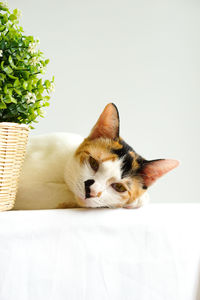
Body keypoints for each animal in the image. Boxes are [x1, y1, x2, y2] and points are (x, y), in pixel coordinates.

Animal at [14, 102, 180, 209]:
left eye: (119, 187)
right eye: (93, 163)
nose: (91, 192)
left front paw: (139, 199)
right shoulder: (23, 190)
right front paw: (138, 200)